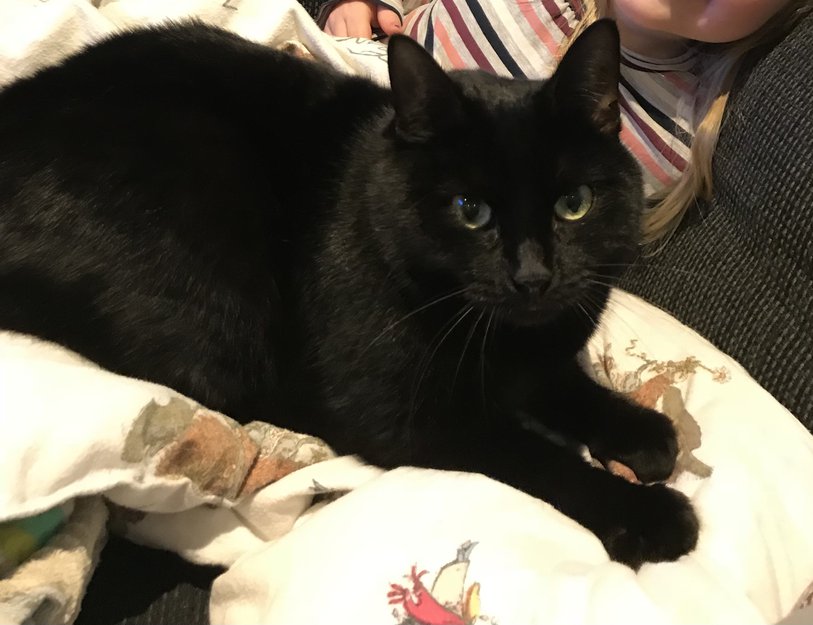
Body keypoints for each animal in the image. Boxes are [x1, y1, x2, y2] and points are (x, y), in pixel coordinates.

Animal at [0, 19, 698, 568]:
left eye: (573, 204)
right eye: (470, 211)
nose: (532, 277)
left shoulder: (541, 350)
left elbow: (561, 383)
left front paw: (638, 429)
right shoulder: (406, 414)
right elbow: (535, 455)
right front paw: (649, 514)